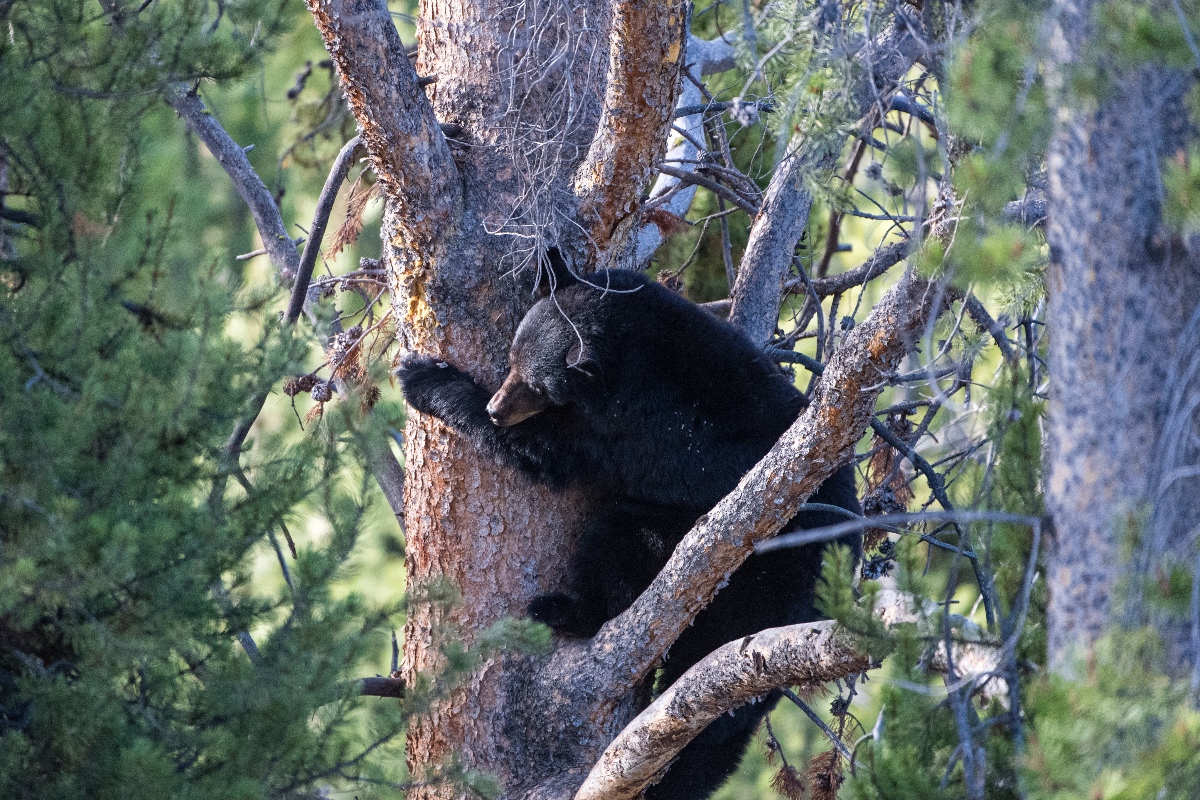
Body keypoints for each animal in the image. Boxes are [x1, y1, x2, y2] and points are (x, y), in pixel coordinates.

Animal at [397, 249, 860, 800]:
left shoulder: (629, 431)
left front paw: (426, 379)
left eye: (535, 383)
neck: (637, 353)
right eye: (511, 357)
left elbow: (544, 454)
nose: (496, 407)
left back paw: (567, 610)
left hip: (740, 581)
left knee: (619, 539)